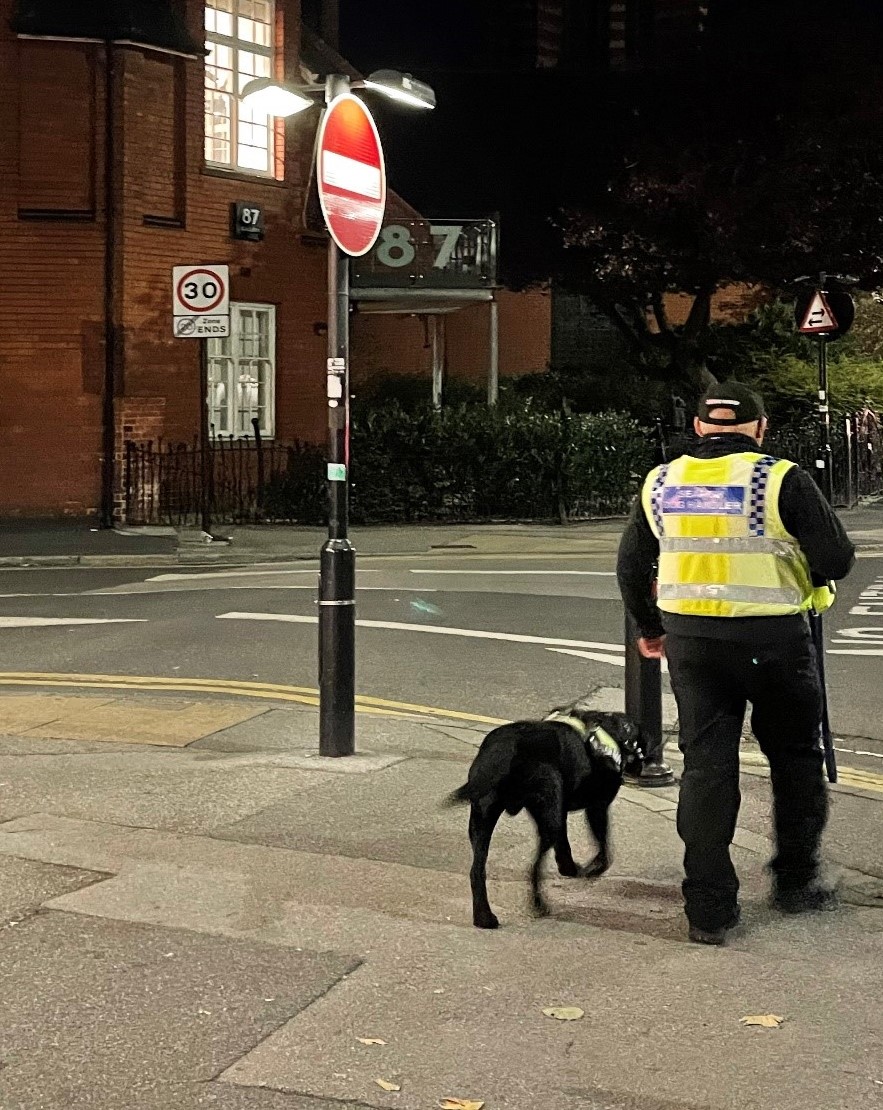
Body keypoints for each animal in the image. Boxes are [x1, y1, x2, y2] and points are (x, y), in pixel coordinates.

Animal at [448, 701, 644, 927]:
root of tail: (505, 749)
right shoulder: (597, 807)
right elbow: (604, 850)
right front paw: (592, 869)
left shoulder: (561, 809)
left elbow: (564, 845)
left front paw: (569, 868)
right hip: (548, 813)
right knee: (533, 867)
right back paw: (538, 905)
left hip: (483, 817)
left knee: (476, 870)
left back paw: (484, 917)